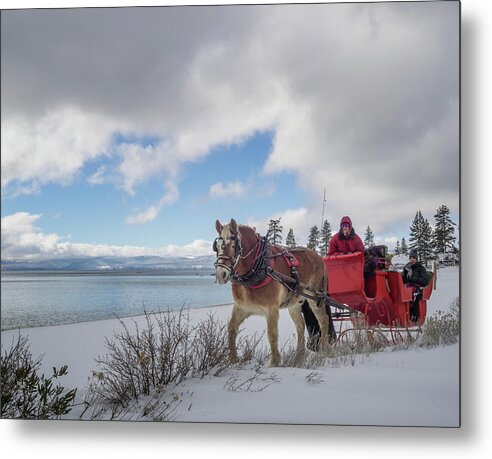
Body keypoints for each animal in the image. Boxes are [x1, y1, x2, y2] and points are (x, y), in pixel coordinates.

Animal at [214, 219, 330, 366]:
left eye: (234, 245)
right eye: (217, 246)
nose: (220, 274)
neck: (259, 268)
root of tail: (319, 257)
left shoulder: (272, 309)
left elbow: (272, 334)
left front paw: (274, 362)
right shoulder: (241, 307)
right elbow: (231, 329)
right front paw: (233, 359)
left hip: (315, 297)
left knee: (324, 321)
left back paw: (325, 350)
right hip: (294, 304)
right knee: (300, 326)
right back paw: (299, 356)